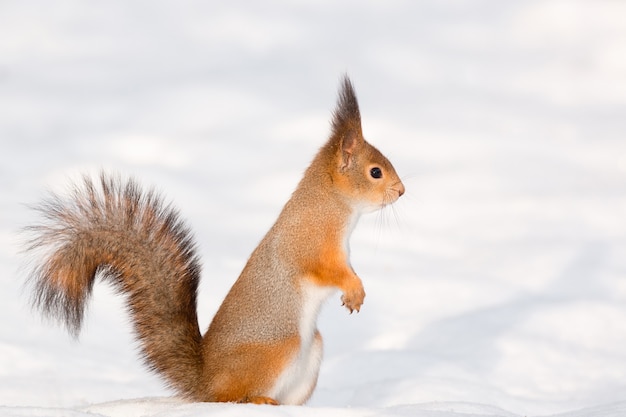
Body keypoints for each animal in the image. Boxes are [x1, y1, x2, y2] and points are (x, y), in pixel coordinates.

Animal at [23, 75, 404, 404]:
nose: (402, 191)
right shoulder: (313, 244)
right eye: (375, 172)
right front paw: (354, 290)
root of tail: (206, 381)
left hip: (311, 354)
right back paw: (256, 399)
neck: (332, 205)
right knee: (231, 396)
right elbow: (330, 269)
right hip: (279, 347)